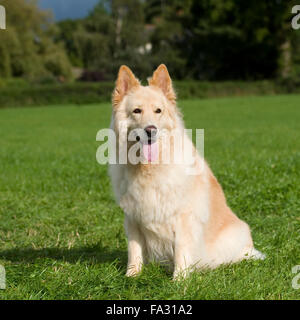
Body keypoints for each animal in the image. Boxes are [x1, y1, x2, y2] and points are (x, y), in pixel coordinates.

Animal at [108, 63, 264, 278]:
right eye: (137, 111)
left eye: (158, 111)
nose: (151, 130)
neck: (150, 168)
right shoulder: (132, 217)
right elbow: (134, 250)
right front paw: (131, 276)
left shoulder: (183, 217)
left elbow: (181, 249)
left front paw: (179, 280)